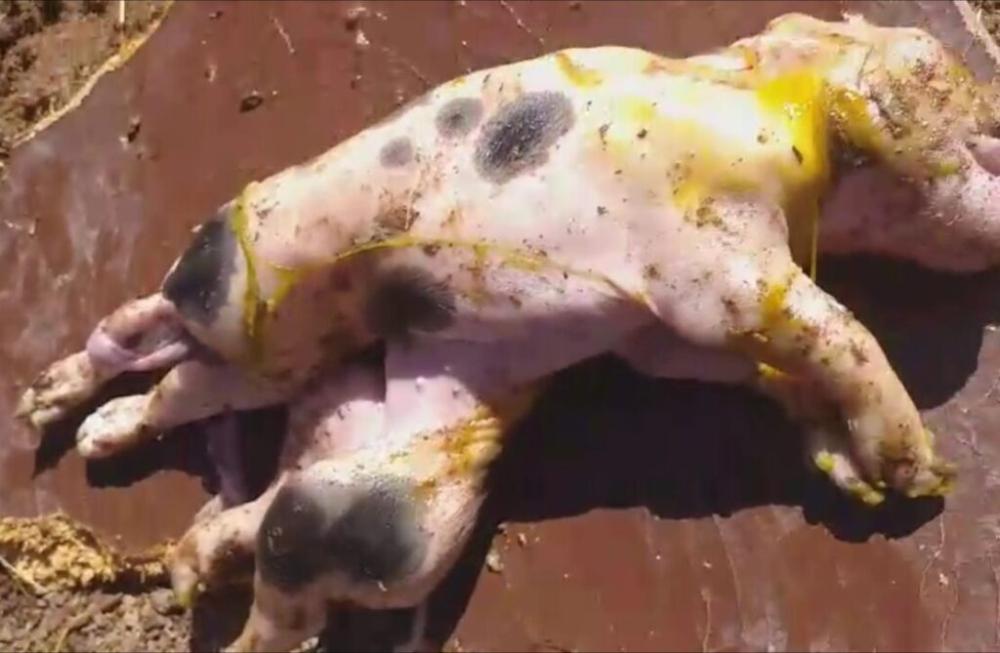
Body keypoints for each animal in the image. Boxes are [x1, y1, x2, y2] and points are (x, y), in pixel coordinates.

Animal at [13, 11, 1000, 651]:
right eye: (977, 131)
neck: (778, 110)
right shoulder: (704, 262)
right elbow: (827, 327)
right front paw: (913, 469)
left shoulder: (661, 335)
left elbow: (759, 369)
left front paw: (851, 472)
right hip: (267, 317)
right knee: (179, 377)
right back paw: (70, 427)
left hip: (386, 490)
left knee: (219, 451)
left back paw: (129, 491)